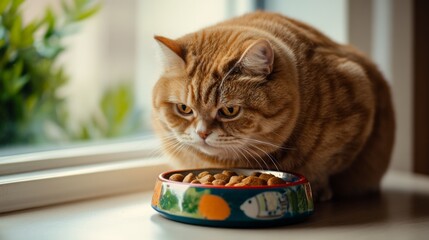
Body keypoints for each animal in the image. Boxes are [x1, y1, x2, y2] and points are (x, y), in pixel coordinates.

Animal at [150, 11, 394, 201]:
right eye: (184, 109)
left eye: (229, 111)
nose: (202, 133)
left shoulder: (357, 96)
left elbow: (324, 167)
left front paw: (317, 189)